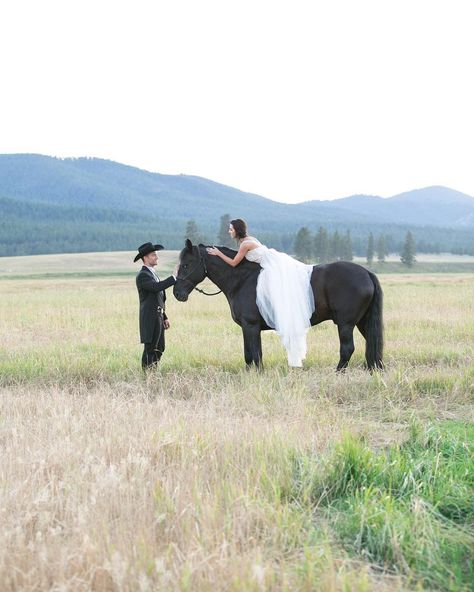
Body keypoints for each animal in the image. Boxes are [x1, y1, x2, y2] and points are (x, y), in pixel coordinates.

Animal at [174, 239, 386, 370]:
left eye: (186, 264)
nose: (177, 293)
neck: (242, 279)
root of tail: (366, 273)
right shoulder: (249, 328)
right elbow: (251, 354)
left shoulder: (250, 326)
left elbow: (254, 355)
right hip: (362, 322)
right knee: (372, 345)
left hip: (345, 324)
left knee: (347, 349)